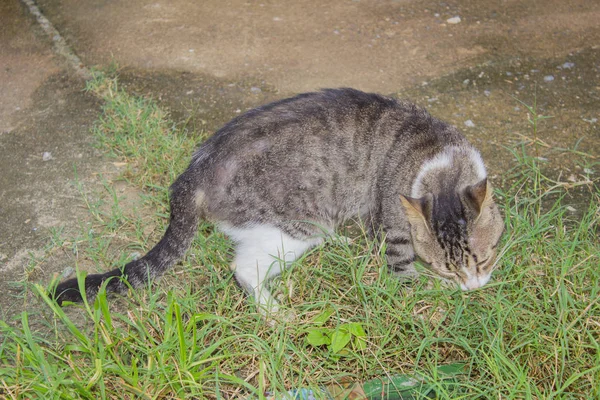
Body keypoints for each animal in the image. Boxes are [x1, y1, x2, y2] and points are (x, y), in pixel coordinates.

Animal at [51, 88, 504, 316]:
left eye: (483, 259)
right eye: (446, 267)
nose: (474, 286)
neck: (435, 158)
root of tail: (192, 173)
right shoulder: (392, 229)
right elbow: (404, 275)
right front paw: (440, 293)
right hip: (292, 229)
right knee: (243, 268)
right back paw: (273, 313)